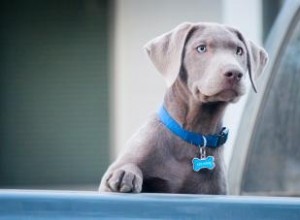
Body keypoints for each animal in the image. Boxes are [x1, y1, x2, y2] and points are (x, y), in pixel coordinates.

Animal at [99, 22, 268, 194]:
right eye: (201, 48)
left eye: (239, 51)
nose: (234, 73)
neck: (195, 135)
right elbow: (129, 165)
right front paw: (125, 173)